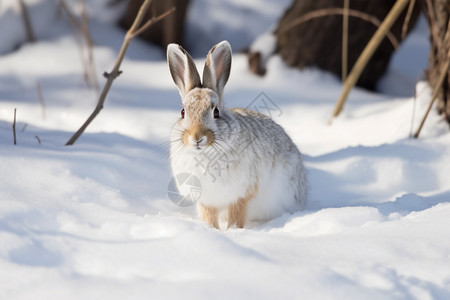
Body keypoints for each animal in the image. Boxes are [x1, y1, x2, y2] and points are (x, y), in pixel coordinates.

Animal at [167, 40, 308, 230]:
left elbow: (236, 215)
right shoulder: (206, 201)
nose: (197, 137)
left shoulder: (242, 194)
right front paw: (212, 230)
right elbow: (209, 216)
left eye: (216, 112)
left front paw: (233, 231)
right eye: (183, 112)